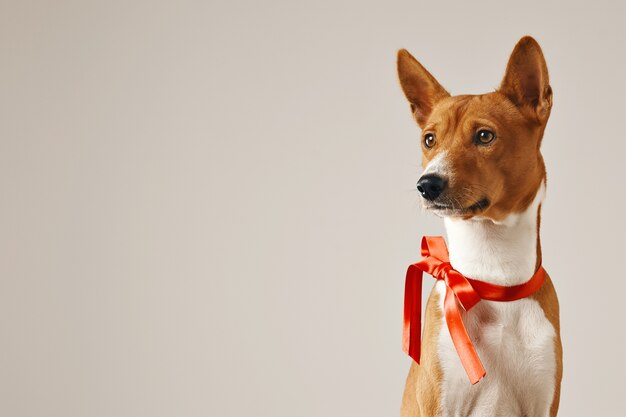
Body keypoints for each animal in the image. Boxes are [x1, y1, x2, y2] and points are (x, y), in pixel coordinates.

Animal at [398, 36, 564, 416]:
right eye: (429, 139)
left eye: (485, 136)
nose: (427, 184)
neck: (493, 284)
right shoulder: (441, 403)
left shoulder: (542, 402)